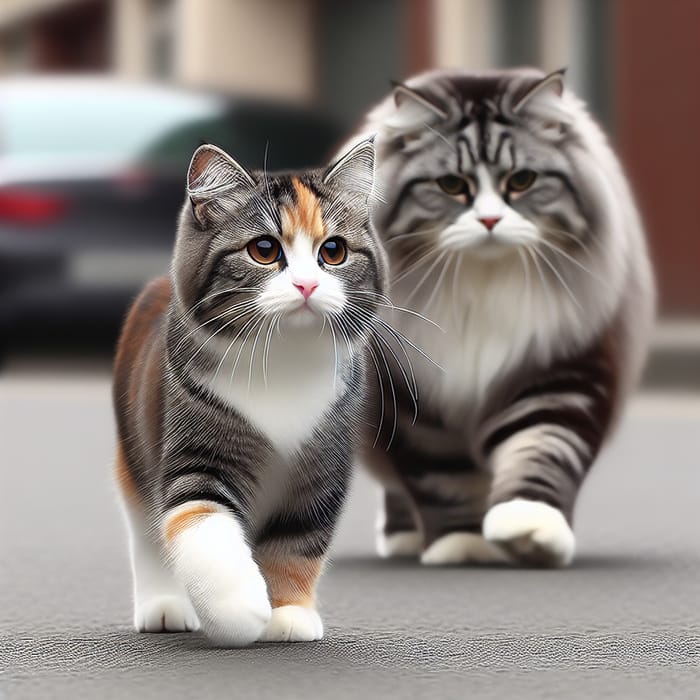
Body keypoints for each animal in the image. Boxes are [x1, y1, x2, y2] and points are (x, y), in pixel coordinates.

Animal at [348, 67, 652, 568]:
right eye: (452, 185)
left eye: (522, 180)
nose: (490, 221)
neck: (483, 286)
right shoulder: (413, 396)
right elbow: (443, 479)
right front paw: (463, 545)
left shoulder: (559, 373)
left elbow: (542, 447)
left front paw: (528, 531)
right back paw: (405, 540)